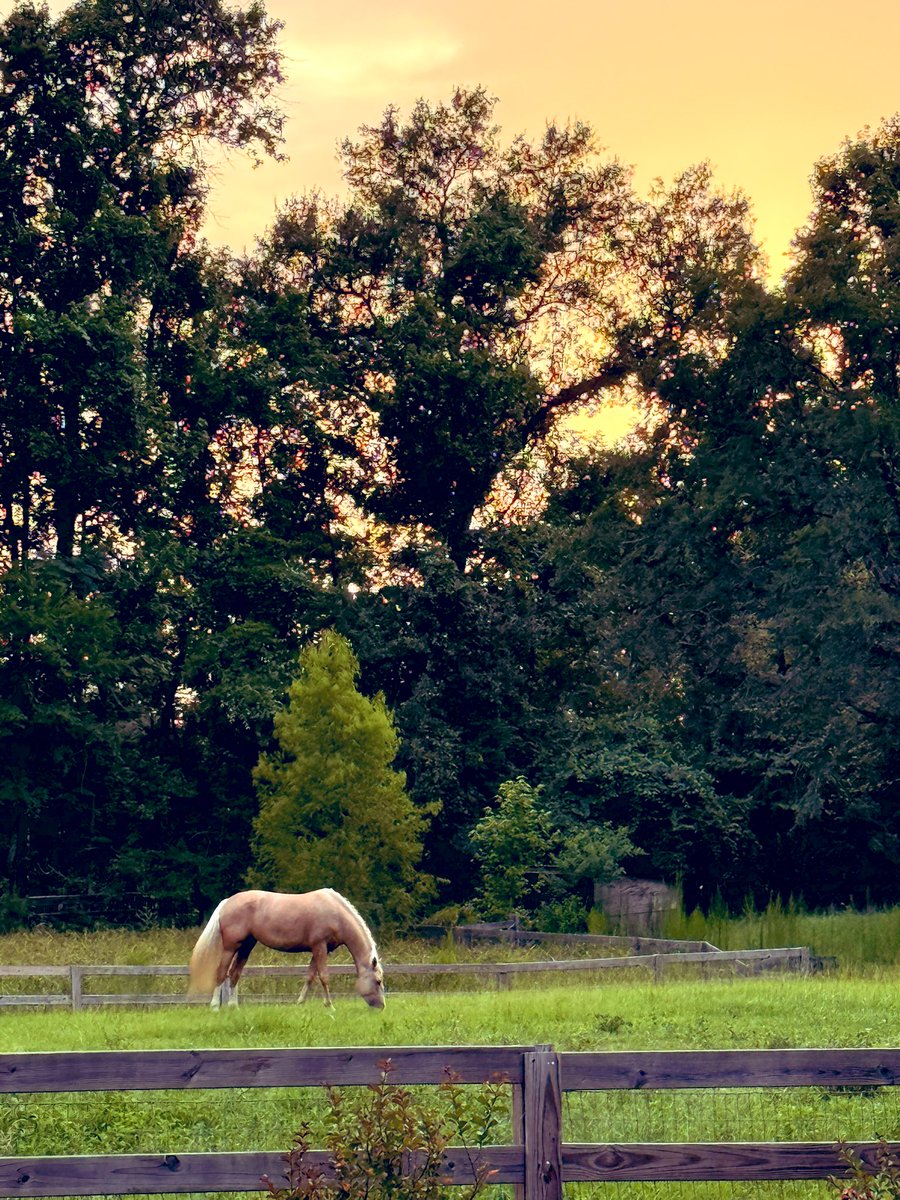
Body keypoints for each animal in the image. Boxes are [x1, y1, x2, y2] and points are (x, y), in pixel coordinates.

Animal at [188, 888, 385, 1010]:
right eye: (378, 981)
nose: (381, 1006)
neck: (336, 914)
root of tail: (228, 902)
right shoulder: (319, 947)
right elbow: (323, 976)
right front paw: (330, 1006)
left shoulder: (319, 950)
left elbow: (310, 976)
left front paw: (300, 1003)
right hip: (230, 947)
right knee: (221, 973)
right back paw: (215, 1007)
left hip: (246, 947)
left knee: (234, 974)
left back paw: (233, 1007)